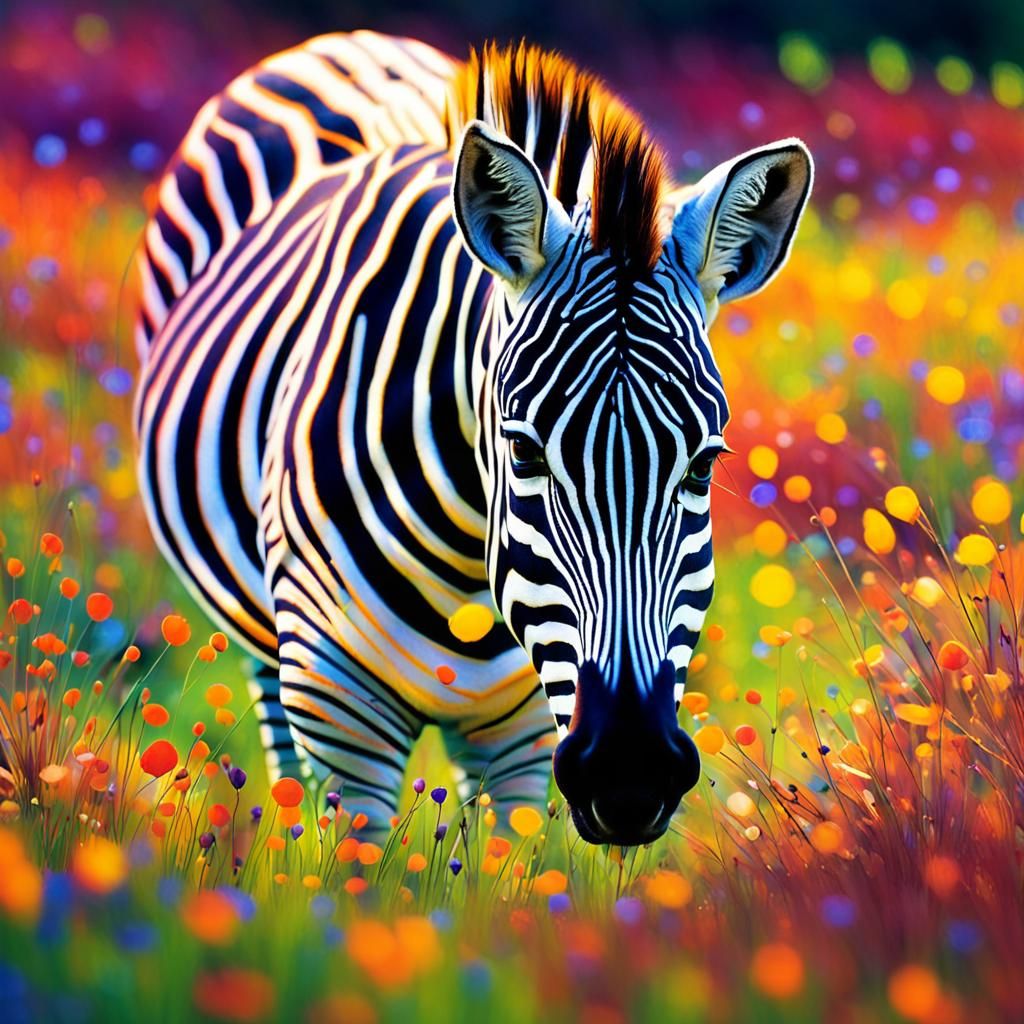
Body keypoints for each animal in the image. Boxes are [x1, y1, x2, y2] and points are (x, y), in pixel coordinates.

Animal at [134, 32, 812, 845]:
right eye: (523, 451)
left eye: (703, 466)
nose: (630, 777)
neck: (466, 578)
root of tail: (348, 42)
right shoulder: (339, 714)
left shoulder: (521, 734)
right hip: (268, 648)